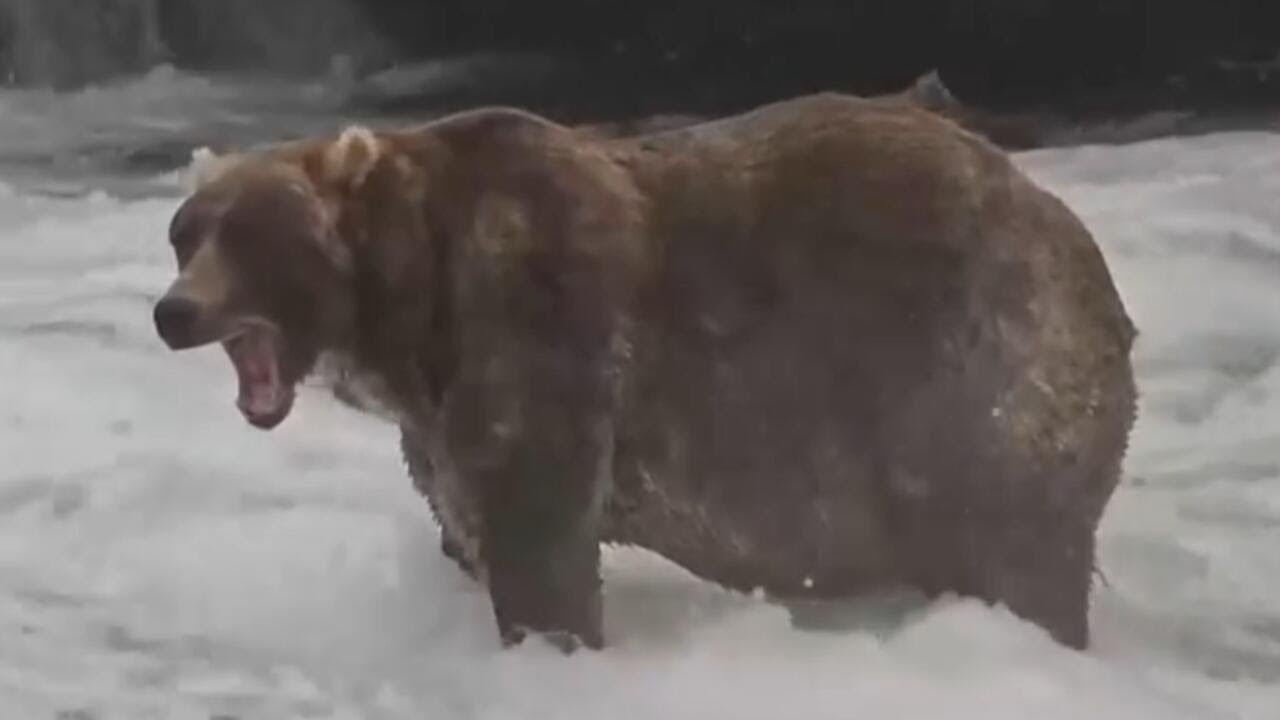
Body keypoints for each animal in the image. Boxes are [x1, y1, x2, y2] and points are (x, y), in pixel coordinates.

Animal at [152, 92, 1137, 652]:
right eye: (184, 232)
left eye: (252, 232)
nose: (174, 312)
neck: (407, 310)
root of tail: (1073, 233)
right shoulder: (435, 418)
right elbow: (462, 514)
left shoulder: (540, 327)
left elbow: (541, 536)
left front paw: (552, 639)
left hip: (972, 369)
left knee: (1020, 541)